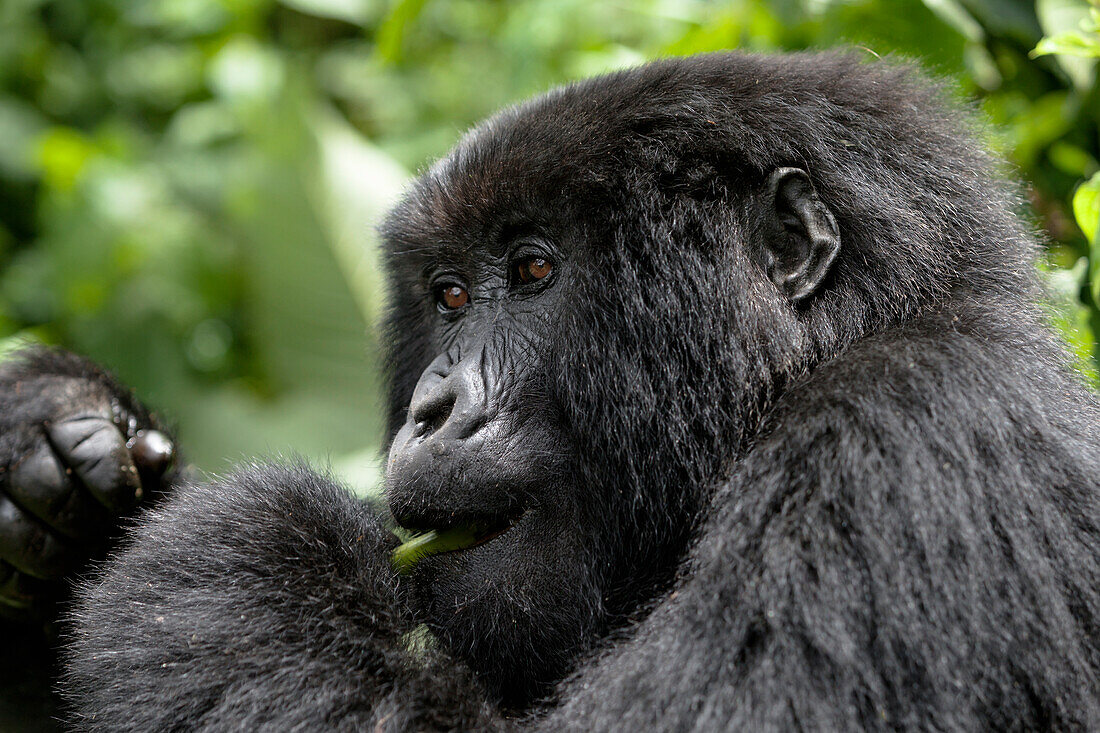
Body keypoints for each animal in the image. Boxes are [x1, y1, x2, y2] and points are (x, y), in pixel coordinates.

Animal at [2, 51, 1100, 726]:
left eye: (532, 270)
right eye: (448, 294)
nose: (431, 410)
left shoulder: (903, 436)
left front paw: (242, 543)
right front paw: (47, 440)